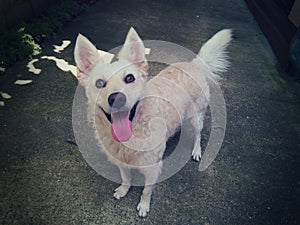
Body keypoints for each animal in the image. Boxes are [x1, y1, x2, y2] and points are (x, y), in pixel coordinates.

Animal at [73, 27, 232, 217]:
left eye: (129, 78)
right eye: (99, 83)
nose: (116, 98)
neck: (132, 137)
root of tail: (194, 64)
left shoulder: (152, 169)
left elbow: (146, 191)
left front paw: (143, 206)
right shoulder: (121, 162)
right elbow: (126, 178)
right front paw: (123, 190)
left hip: (196, 117)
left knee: (198, 135)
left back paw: (196, 151)